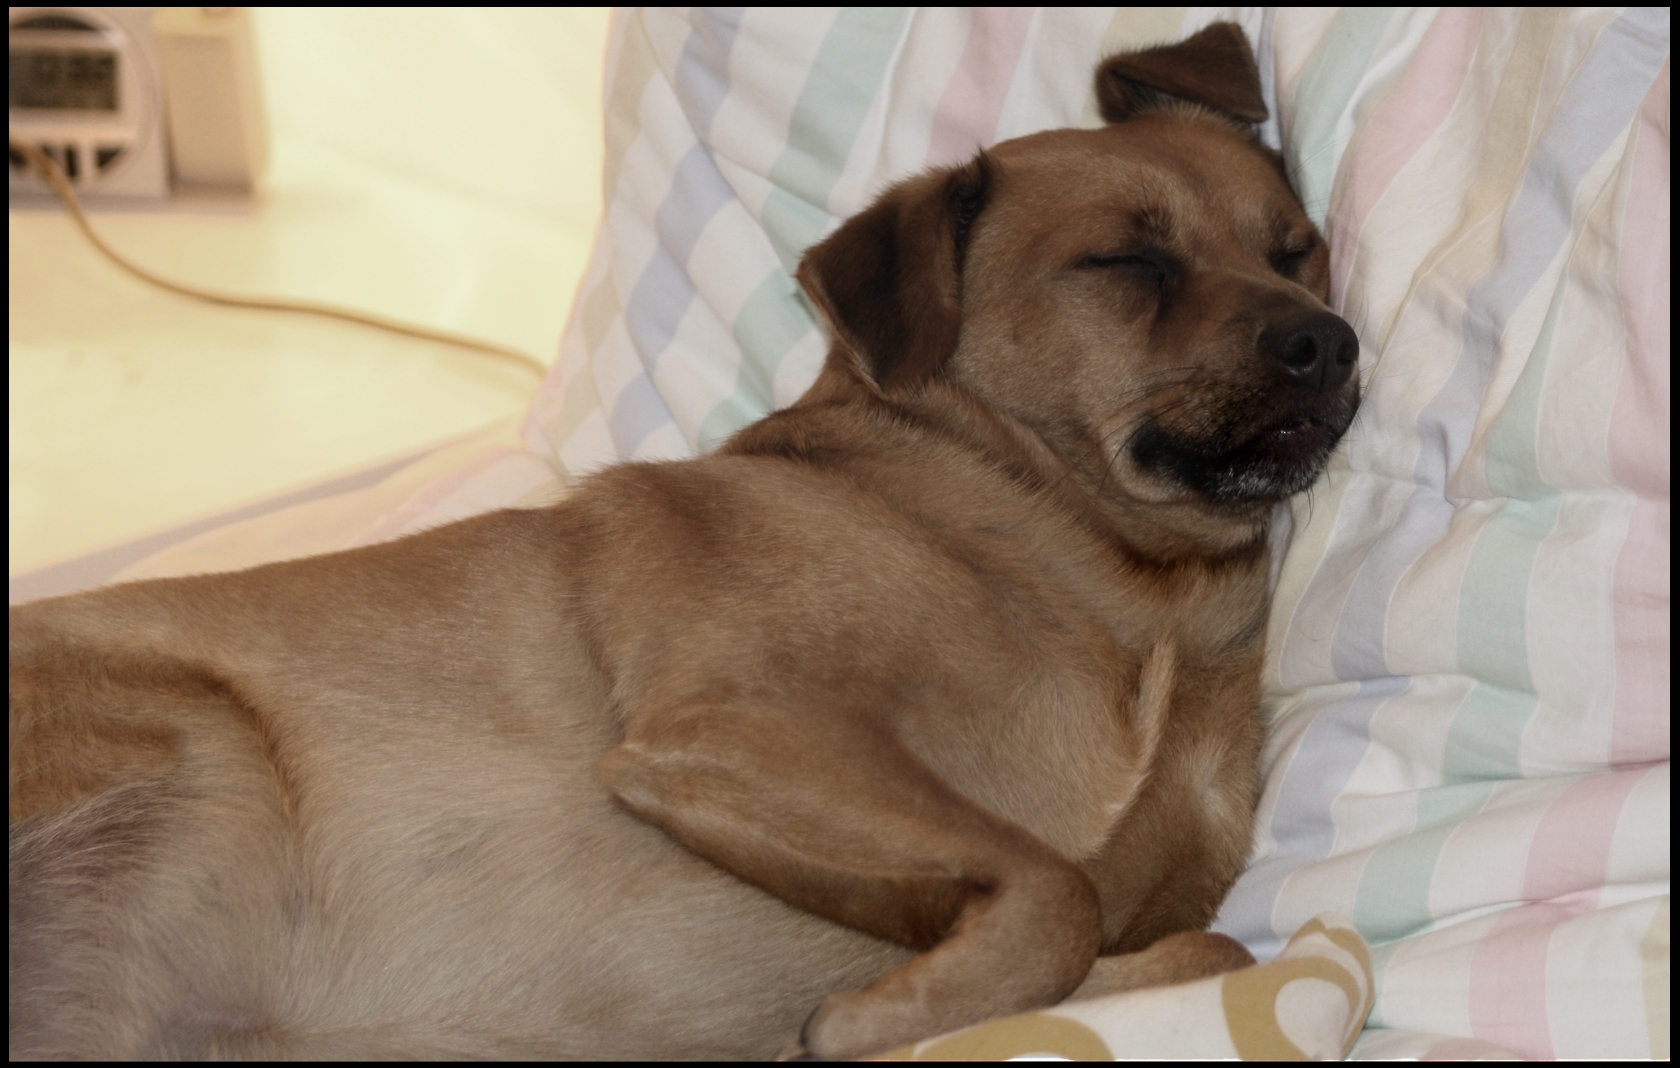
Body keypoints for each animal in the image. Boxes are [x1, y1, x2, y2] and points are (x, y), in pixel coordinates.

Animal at [6, 24, 1357, 1061]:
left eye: (1298, 248)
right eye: (1128, 260)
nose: (1328, 341)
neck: (1112, 574)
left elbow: (1203, 940)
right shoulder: (742, 727)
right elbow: (1055, 887)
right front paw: (878, 1020)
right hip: (199, 737)